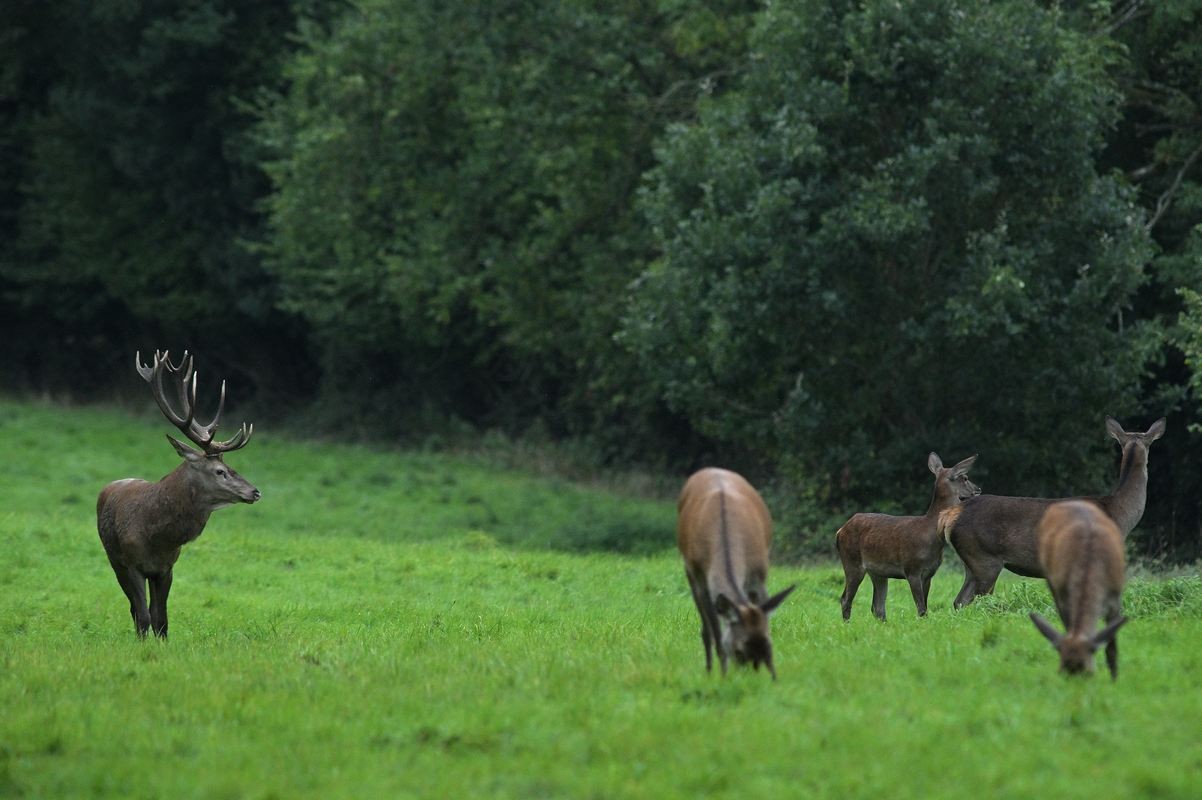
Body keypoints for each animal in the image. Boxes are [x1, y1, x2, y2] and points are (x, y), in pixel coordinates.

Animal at [96, 348, 260, 634]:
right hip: (114, 560)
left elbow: (161, 619)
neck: (158, 537)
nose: (255, 492)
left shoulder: (167, 567)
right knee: (134, 609)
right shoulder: (133, 563)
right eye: (220, 470)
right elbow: (144, 617)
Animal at [836, 451, 976, 619]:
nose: (978, 489)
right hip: (852, 561)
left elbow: (925, 607)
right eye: (964, 478)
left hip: (877, 572)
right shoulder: (912, 568)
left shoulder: (929, 573)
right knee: (845, 598)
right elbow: (921, 609)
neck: (930, 533)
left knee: (877, 607)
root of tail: (840, 531)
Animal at [947, 413, 1163, 607]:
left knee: (958, 601)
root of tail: (952, 518)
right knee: (970, 600)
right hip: (985, 558)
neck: (1118, 513)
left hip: (972, 562)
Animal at [1024, 502, 1125, 677]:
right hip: (1050, 578)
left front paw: (1114, 679)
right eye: (1062, 671)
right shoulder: (1065, 594)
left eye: (1087, 672)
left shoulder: (1115, 596)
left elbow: (1111, 646)